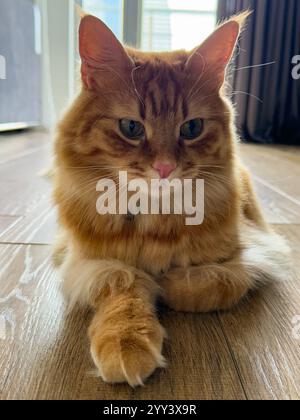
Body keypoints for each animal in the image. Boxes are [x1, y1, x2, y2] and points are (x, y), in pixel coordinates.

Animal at [52, 12, 290, 388]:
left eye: (192, 128)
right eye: (131, 128)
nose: (164, 168)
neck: (156, 220)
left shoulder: (255, 253)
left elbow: (215, 283)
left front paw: (166, 284)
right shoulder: (90, 262)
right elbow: (126, 286)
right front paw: (127, 340)